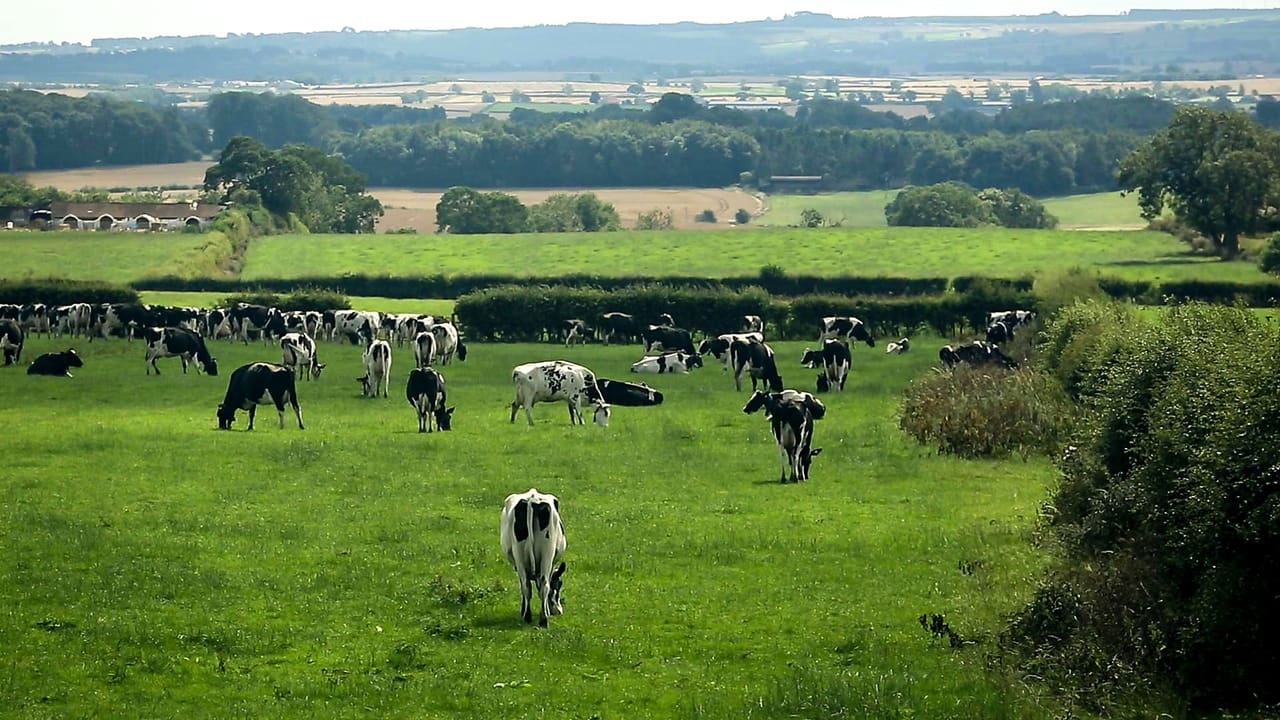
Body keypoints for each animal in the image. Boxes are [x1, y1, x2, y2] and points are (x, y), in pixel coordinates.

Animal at [496, 484, 568, 625]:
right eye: (559, 585)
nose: (559, 611)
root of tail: (532, 499)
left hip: (521, 555)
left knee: (528, 585)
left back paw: (531, 617)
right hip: (546, 553)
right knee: (541, 584)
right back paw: (541, 618)